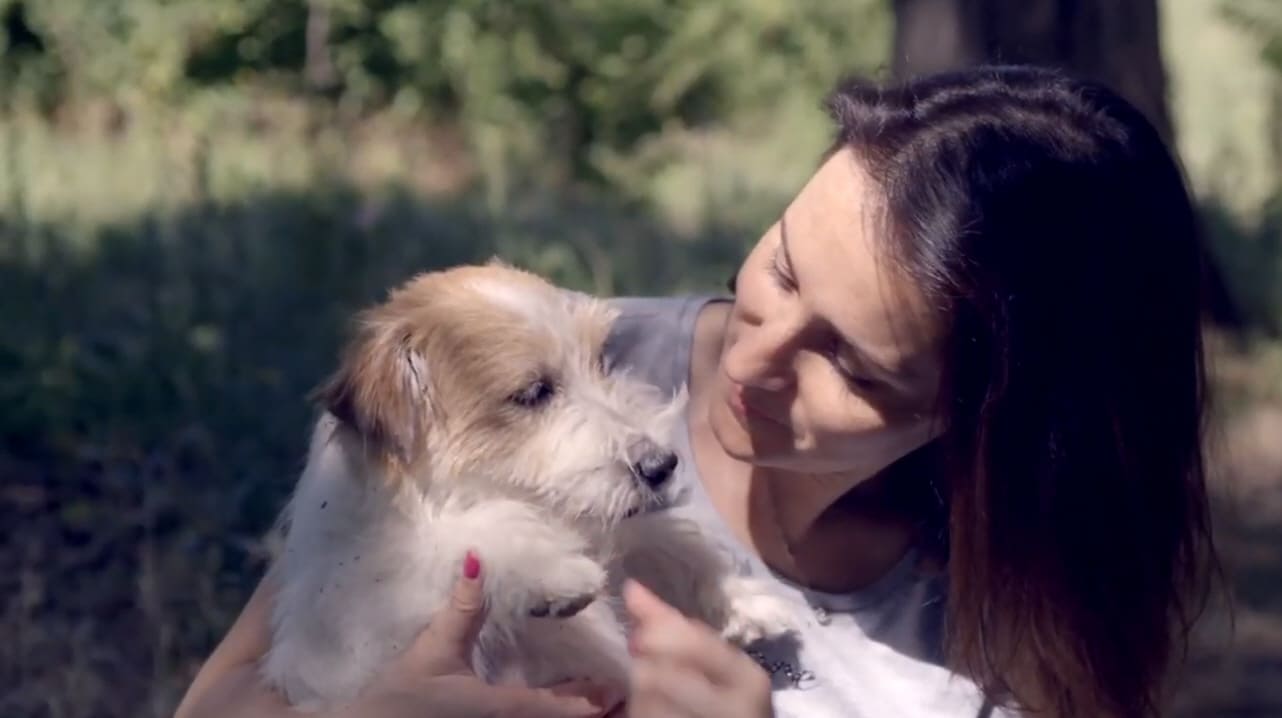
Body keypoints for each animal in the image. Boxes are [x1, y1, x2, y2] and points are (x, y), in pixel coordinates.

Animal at [260, 264, 794, 712]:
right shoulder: (364, 638)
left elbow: (663, 537)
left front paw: (744, 597)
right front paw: (553, 568)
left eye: (600, 361)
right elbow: (455, 540)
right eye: (534, 392)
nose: (662, 465)